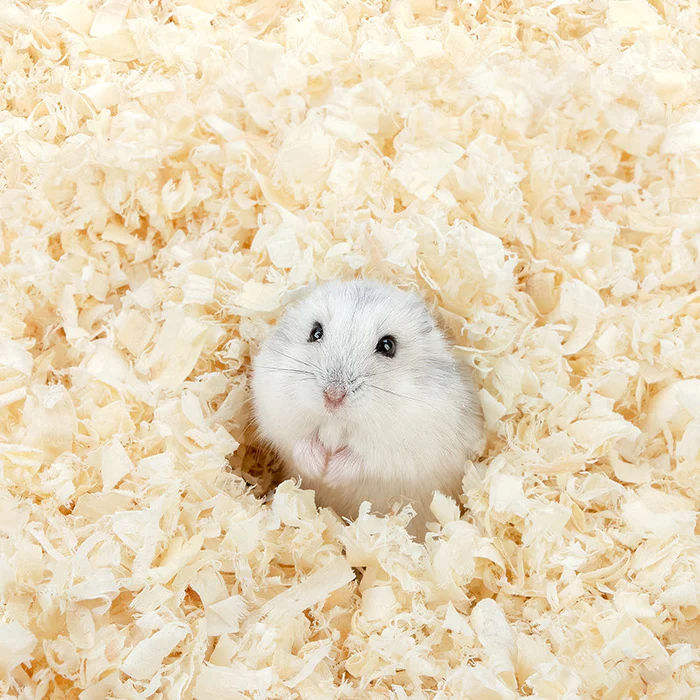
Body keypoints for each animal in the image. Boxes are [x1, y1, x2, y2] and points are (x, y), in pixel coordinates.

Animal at [251, 279, 484, 537]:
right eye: (315, 332)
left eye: (387, 345)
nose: (333, 396)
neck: (336, 422)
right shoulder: (276, 413)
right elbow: (299, 442)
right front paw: (319, 468)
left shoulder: (403, 447)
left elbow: (363, 458)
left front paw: (329, 474)